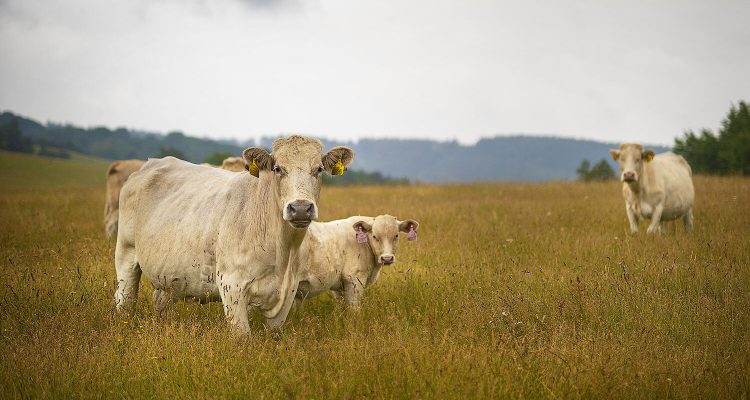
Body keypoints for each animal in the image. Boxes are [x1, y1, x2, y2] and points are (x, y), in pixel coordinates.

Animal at [114, 136, 356, 332]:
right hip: (126, 254)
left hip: (168, 276)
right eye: (278, 168)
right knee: (124, 300)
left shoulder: (288, 292)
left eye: (319, 169)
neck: (282, 251)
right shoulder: (232, 286)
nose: (300, 208)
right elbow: (242, 337)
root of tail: (151, 163)